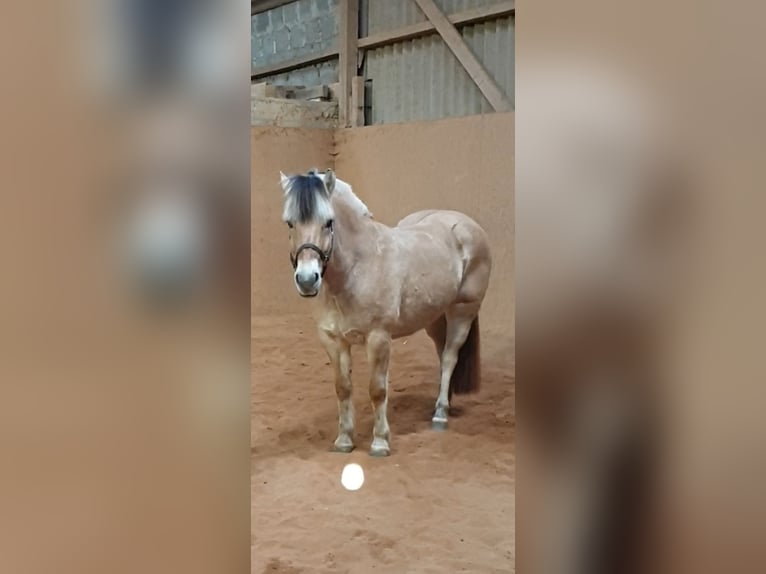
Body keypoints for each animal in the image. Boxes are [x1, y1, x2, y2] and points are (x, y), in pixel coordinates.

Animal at [280, 169, 492, 456]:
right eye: (290, 223)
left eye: (328, 222)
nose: (306, 279)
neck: (357, 268)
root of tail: (468, 224)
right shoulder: (333, 340)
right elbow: (343, 388)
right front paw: (344, 440)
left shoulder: (378, 337)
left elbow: (377, 390)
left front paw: (380, 442)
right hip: (435, 317)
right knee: (442, 355)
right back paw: (443, 403)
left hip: (463, 311)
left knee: (450, 358)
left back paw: (440, 415)